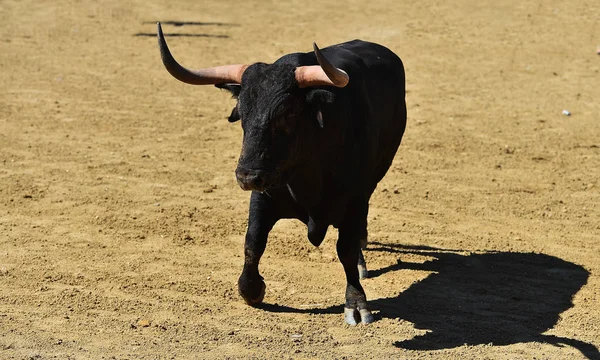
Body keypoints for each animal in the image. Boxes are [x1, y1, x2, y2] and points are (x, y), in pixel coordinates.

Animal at [157, 23, 406, 324]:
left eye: (287, 113)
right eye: (241, 113)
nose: (247, 177)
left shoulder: (354, 199)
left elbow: (345, 248)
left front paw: (356, 303)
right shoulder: (264, 196)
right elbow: (253, 242)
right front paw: (252, 289)